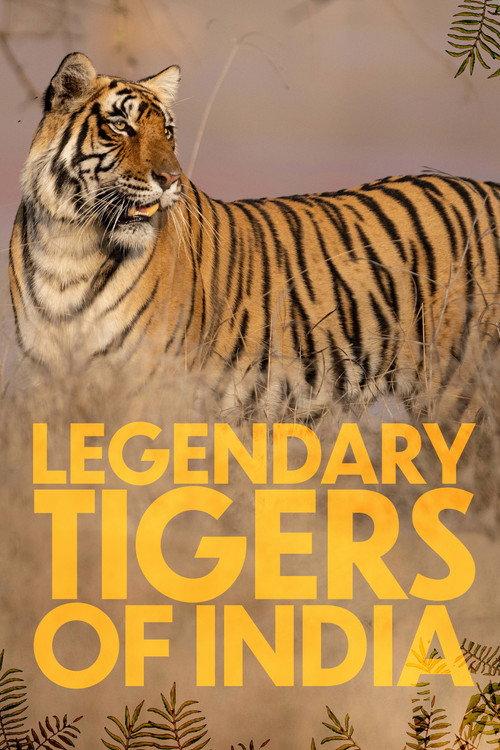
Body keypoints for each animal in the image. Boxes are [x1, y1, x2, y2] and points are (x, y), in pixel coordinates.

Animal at [9, 52, 500, 422]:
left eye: (166, 131)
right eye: (121, 127)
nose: (170, 179)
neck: (71, 244)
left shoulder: (149, 387)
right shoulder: (47, 381)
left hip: (461, 394)